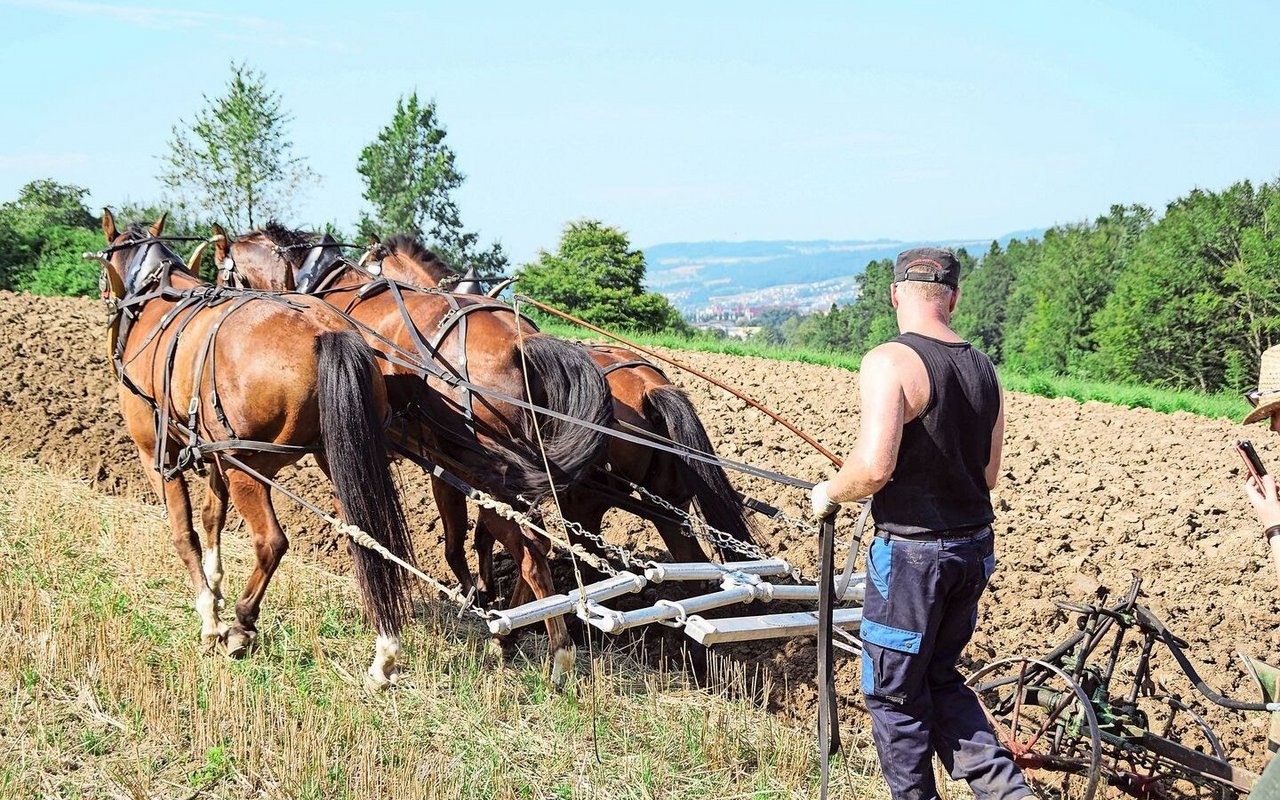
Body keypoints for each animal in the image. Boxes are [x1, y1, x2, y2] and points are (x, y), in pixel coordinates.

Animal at [96, 211, 414, 686]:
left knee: (271, 542)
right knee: (368, 537)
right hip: (331, 457)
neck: (154, 296)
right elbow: (211, 516)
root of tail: (326, 332)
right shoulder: (213, 452)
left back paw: (241, 626)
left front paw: (210, 618)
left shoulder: (158, 452)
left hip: (248, 467)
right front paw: (214, 586)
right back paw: (384, 653)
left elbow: (184, 532)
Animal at [212, 222, 611, 675]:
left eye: (225, 273)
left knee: (528, 552)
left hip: (486, 477)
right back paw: (515, 631)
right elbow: (450, 542)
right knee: (535, 544)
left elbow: (382, 531)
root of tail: (520, 345)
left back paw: (550, 648)